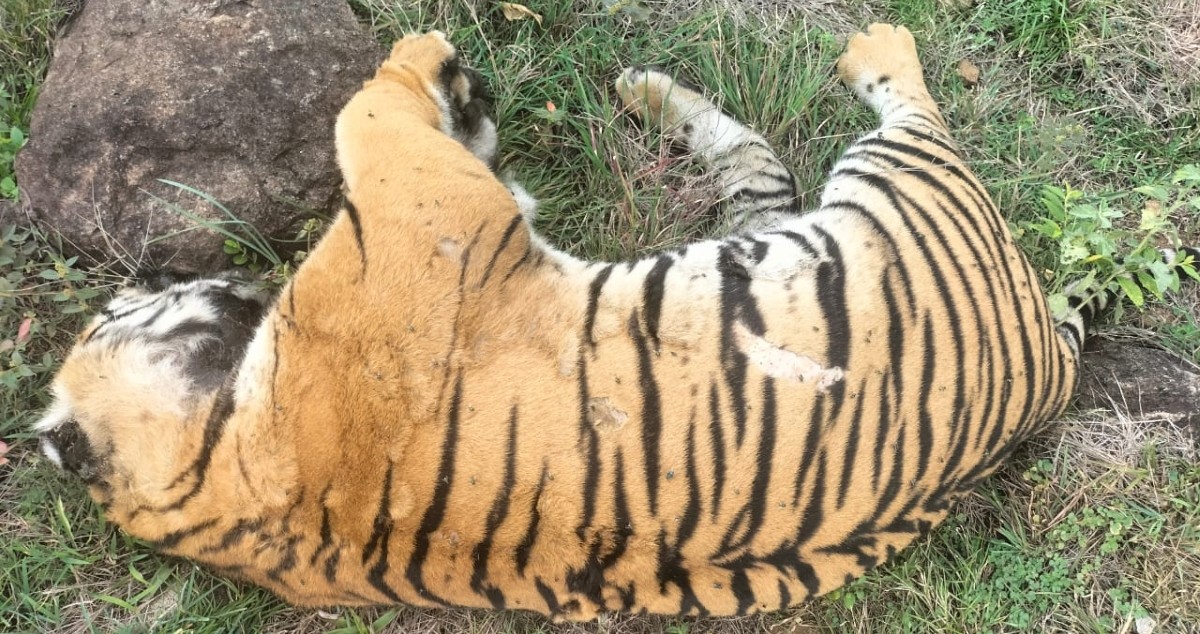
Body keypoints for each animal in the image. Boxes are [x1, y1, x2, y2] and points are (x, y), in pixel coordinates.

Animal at [25, 25, 1199, 621]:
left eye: (121, 305)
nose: (139, 288)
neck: (217, 478)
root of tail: (1047, 371)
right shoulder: (432, 213)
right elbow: (371, 110)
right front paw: (427, 51)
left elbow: (410, 123)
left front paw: (459, 85)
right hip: (898, 192)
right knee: (903, 99)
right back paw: (869, 39)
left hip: (782, 227)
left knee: (755, 164)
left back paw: (644, 89)